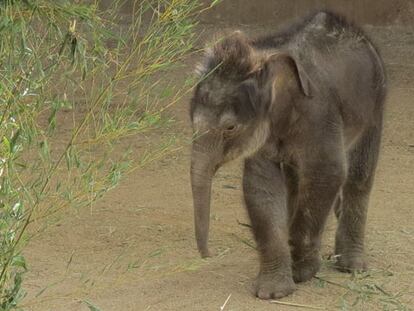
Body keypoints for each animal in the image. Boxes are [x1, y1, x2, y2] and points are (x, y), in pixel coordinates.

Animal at [189, 11, 386, 300]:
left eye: (230, 127)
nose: (208, 254)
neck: (265, 59)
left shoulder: (319, 115)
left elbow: (328, 174)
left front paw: (303, 271)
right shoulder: (266, 132)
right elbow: (261, 186)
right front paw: (273, 291)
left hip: (375, 103)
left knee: (358, 176)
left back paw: (351, 266)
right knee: (296, 181)